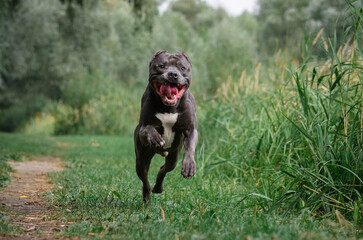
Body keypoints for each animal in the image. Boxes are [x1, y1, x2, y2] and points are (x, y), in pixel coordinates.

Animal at [134, 51, 198, 202]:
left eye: (182, 68)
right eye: (162, 66)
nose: (173, 74)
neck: (169, 107)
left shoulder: (191, 129)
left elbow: (190, 146)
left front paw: (189, 165)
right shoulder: (142, 129)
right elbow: (148, 129)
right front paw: (156, 138)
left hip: (173, 157)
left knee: (163, 168)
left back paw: (158, 187)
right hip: (141, 159)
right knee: (144, 179)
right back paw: (147, 195)